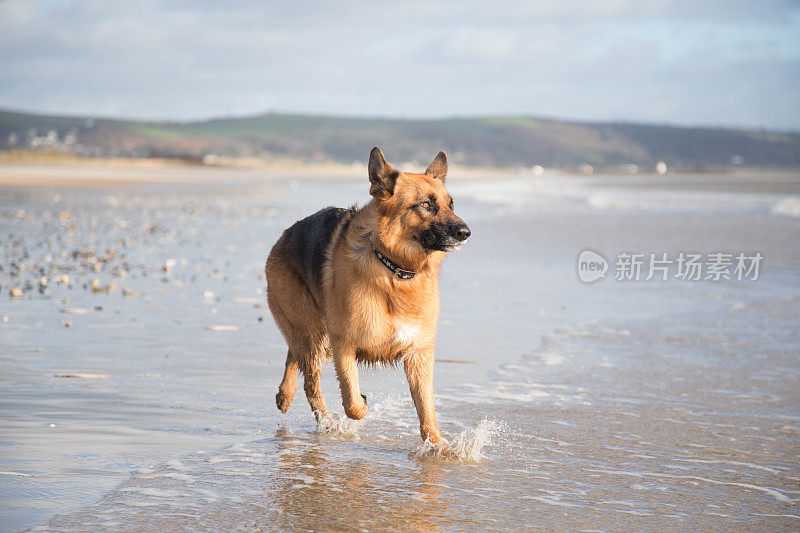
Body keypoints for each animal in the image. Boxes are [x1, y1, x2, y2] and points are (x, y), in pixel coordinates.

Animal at [266, 147, 472, 444]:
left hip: (312, 334)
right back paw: (326, 422)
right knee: (310, 380)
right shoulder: (343, 345)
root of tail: (285, 235)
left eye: (450, 205)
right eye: (425, 205)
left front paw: (438, 447)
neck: (394, 269)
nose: (465, 233)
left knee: (295, 353)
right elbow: (353, 403)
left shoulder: (418, 354)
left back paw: (284, 395)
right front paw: (359, 402)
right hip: (314, 333)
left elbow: (427, 410)